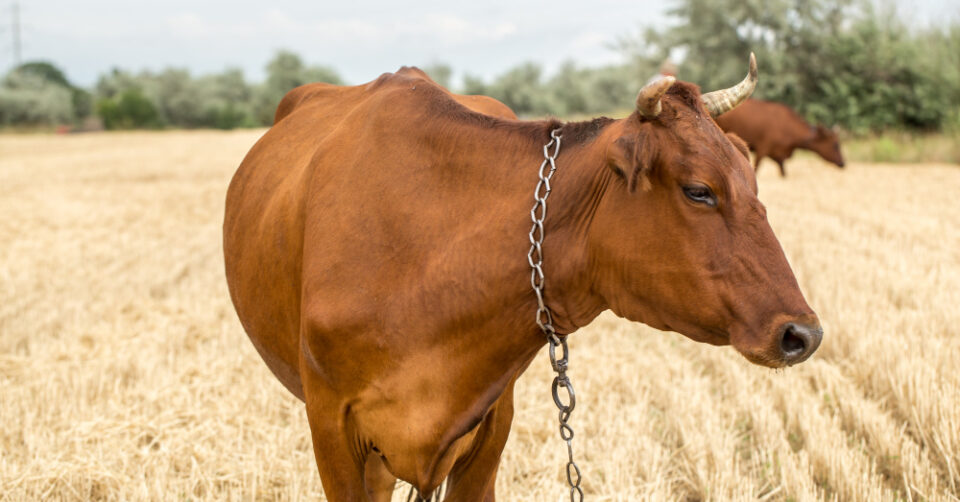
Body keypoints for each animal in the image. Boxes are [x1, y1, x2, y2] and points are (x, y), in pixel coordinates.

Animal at [714, 98, 845, 177]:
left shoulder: (779, 157)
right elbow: (756, 171)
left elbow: (783, 174)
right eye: (835, 145)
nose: (843, 163)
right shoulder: (762, 149)